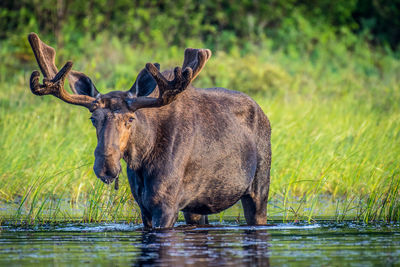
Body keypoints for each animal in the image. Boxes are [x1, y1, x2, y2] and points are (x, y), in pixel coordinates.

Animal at [28, 32, 272, 229]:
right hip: (196, 206)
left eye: (130, 119)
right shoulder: (144, 207)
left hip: (259, 188)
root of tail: (263, 113)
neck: (142, 157)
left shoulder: (166, 206)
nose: (106, 167)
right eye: (93, 119)